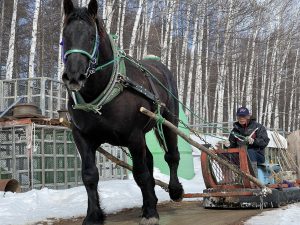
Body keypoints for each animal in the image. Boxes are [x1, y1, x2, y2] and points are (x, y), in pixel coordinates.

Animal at [62, 0, 182, 224]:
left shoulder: (133, 136)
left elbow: (141, 173)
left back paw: (175, 191)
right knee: (150, 159)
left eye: (91, 37)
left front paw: (150, 213)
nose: (74, 76)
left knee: (171, 156)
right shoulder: (82, 136)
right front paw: (93, 215)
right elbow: (89, 175)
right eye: (65, 35)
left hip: (169, 120)